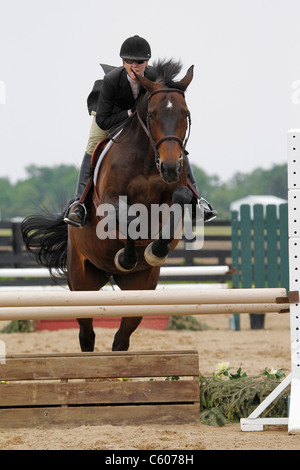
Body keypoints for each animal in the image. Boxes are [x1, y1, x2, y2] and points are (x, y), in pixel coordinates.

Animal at [21, 58, 195, 350]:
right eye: (152, 115)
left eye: (185, 114)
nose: (171, 167)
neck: (147, 160)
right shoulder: (109, 202)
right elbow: (127, 217)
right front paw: (126, 257)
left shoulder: (175, 195)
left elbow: (178, 203)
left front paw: (154, 251)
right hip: (82, 283)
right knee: (86, 333)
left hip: (140, 289)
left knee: (121, 338)